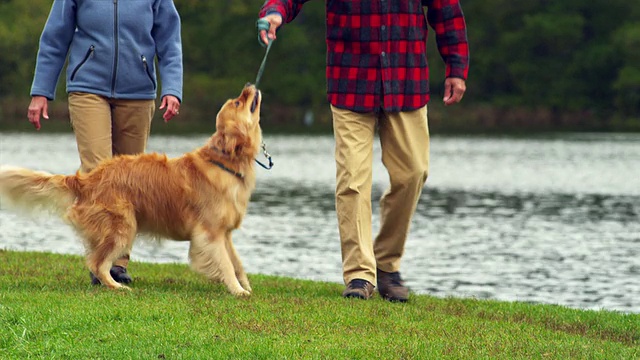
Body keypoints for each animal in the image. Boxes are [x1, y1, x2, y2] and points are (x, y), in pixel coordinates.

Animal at [0, 83, 262, 296]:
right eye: (238, 102)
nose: (250, 84)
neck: (225, 161)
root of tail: (86, 179)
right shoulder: (210, 233)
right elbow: (226, 264)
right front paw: (237, 290)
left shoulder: (224, 233)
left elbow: (237, 263)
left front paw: (246, 286)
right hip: (122, 226)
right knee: (97, 263)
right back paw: (115, 286)